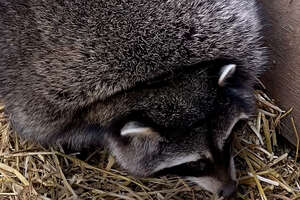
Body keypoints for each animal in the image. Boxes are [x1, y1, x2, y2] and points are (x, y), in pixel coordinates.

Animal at [0, 0, 268, 198]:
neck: (162, 80)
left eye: (228, 140)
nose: (230, 190)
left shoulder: (230, 31)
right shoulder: (49, 102)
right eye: (193, 164)